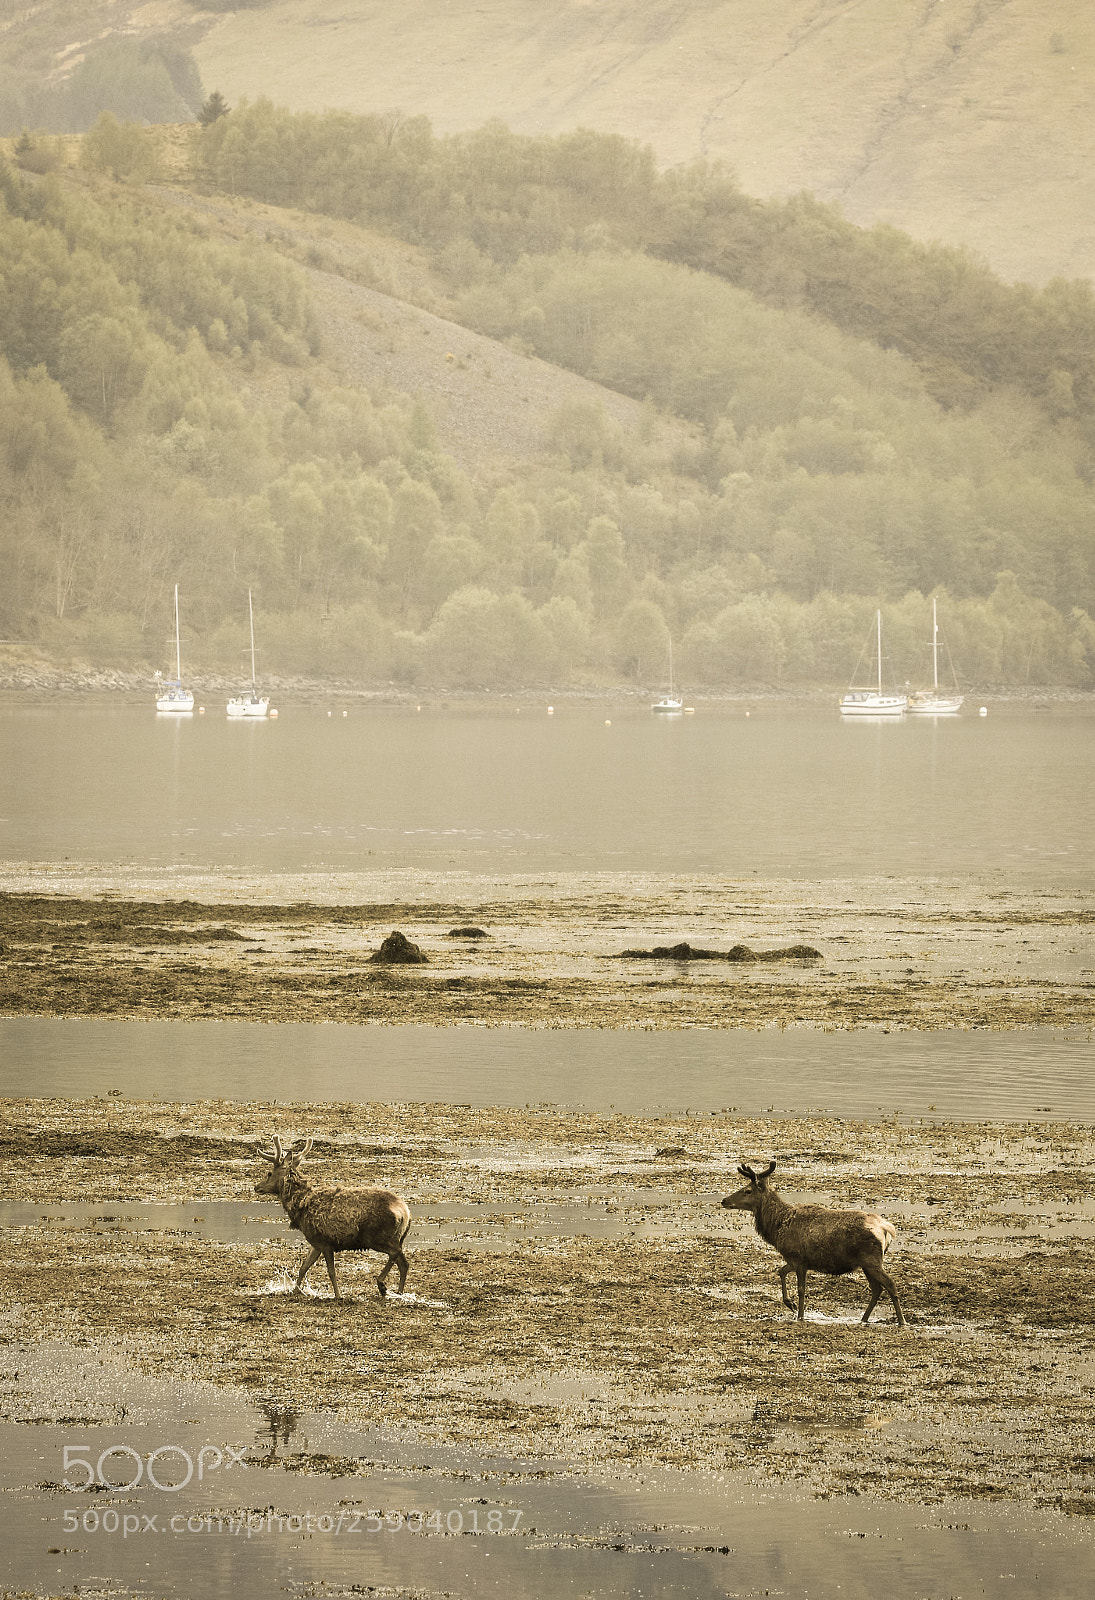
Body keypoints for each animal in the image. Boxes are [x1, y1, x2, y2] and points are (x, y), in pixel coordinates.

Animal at [254, 1135, 411, 1300]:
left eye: (269, 1173)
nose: (257, 1187)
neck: (300, 1207)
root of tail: (405, 1212)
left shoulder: (326, 1242)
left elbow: (331, 1272)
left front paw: (338, 1296)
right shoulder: (316, 1243)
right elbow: (303, 1267)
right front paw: (294, 1291)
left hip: (377, 1237)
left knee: (396, 1253)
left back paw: (382, 1286)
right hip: (396, 1237)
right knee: (403, 1263)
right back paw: (399, 1292)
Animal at [722, 1161, 905, 1327]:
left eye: (747, 1190)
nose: (724, 1200)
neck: (777, 1228)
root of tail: (886, 1228)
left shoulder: (799, 1259)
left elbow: (801, 1289)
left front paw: (800, 1316)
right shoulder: (794, 1259)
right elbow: (780, 1272)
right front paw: (790, 1304)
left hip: (871, 1258)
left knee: (890, 1284)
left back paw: (901, 1321)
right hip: (865, 1262)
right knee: (876, 1289)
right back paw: (864, 1319)